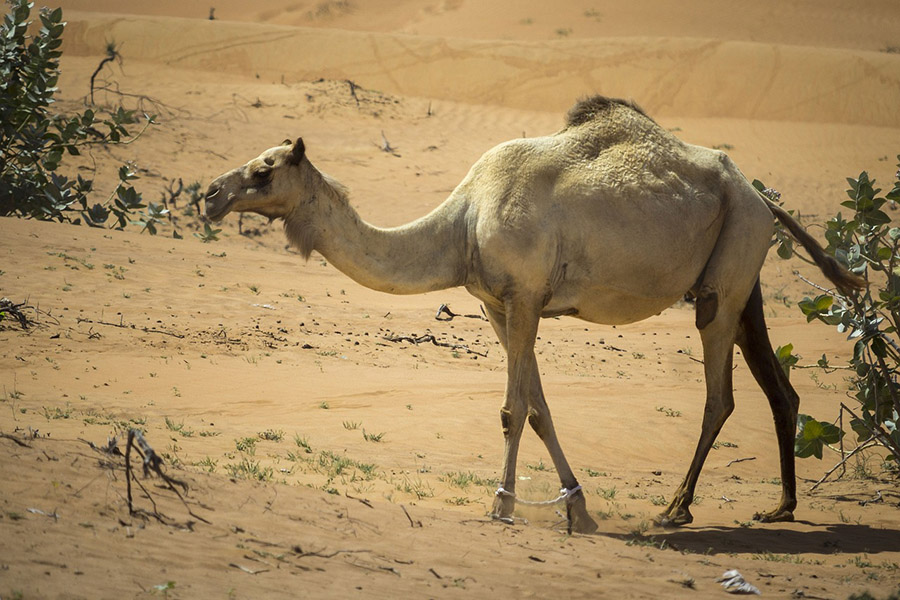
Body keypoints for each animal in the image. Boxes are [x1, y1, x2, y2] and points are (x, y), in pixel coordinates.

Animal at [205, 96, 863, 534]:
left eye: (263, 169)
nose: (209, 194)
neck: (464, 221)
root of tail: (763, 196)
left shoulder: (524, 298)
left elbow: (511, 409)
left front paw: (500, 503)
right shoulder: (498, 304)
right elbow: (540, 408)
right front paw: (578, 507)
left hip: (727, 277)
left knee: (720, 396)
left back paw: (675, 509)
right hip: (744, 276)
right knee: (779, 390)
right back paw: (781, 508)